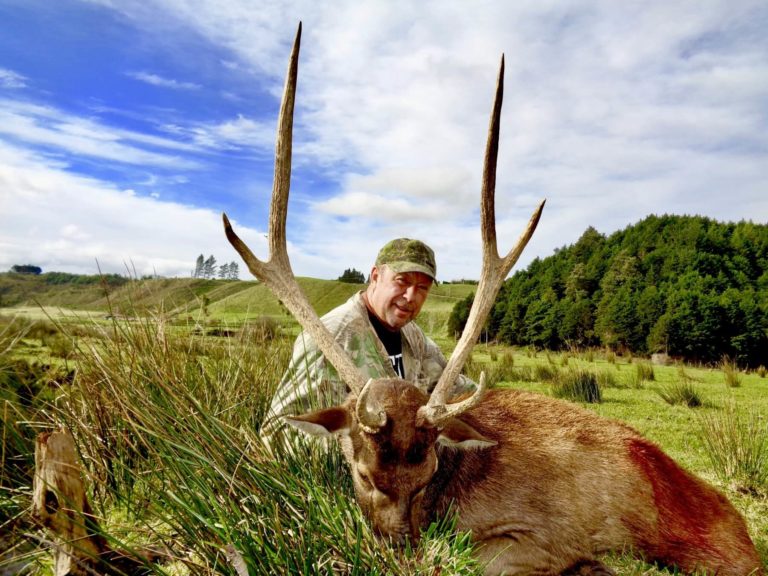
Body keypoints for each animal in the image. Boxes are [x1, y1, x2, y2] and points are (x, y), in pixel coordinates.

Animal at [223, 24, 764, 576]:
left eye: (426, 476)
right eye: (363, 475)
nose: (399, 551)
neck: (454, 485)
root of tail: (742, 529)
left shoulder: (543, 538)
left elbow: (463, 552)